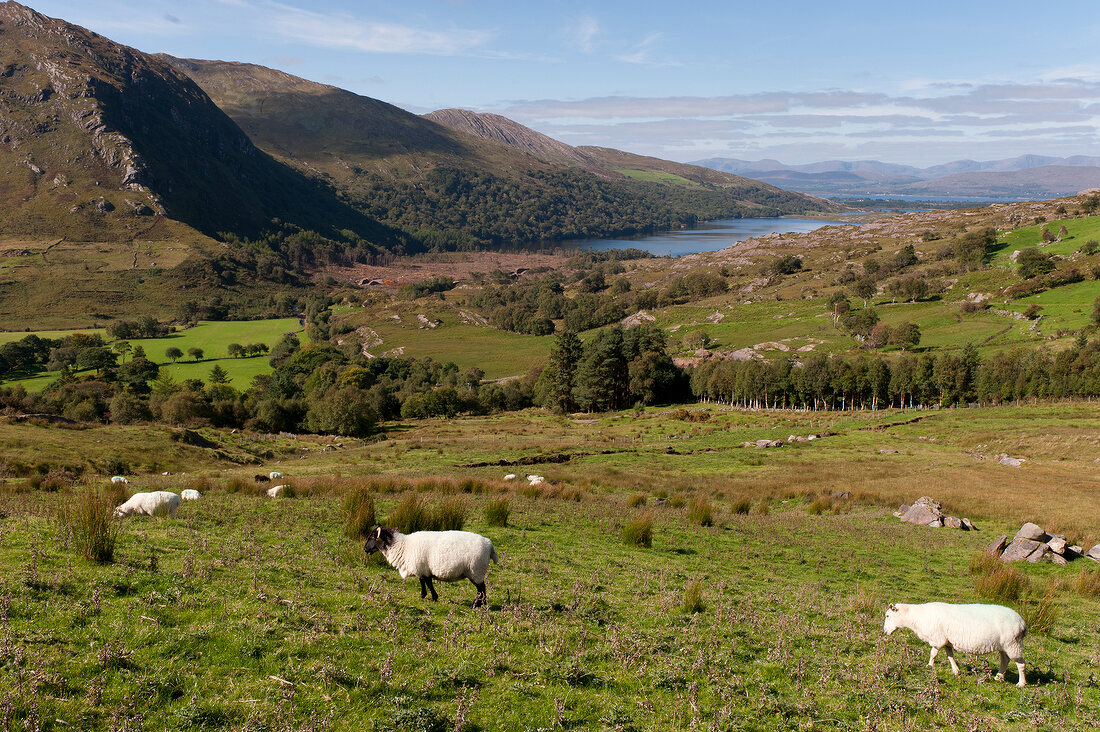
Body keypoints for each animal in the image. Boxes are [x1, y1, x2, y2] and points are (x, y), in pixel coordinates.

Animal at [367, 526, 501, 603]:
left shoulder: (423, 569)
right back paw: (482, 604)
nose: (365, 549)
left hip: (476, 570)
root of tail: (489, 544)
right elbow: (423, 582)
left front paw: (433, 597)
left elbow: (428, 583)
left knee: (481, 589)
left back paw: (477, 604)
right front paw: (423, 595)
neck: (402, 546)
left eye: (373, 537)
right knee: (482, 589)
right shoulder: (422, 569)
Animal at [880, 598, 1025, 686]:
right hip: (1005, 646)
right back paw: (999, 677)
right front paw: (956, 671)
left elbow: (933, 653)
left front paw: (929, 666)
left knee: (1021, 664)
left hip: (1013, 644)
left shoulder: (937, 639)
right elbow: (950, 656)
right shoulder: (947, 641)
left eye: (888, 616)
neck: (917, 618)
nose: (885, 631)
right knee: (1005, 660)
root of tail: (1023, 623)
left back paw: (1021, 684)